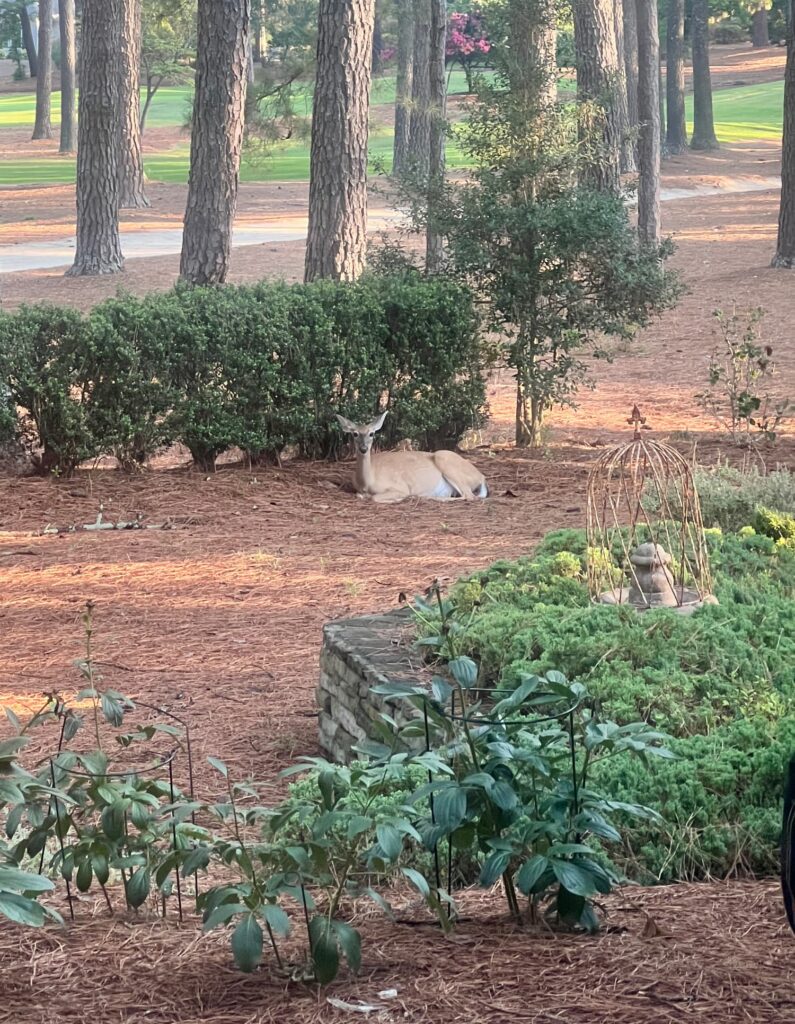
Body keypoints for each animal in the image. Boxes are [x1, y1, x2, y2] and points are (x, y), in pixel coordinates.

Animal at [335, 411, 489, 504]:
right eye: (355, 434)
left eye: (371, 433)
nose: (363, 448)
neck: (367, 482)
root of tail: (481, 477)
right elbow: (361, 495)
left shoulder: (400, 486)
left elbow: (375, 497)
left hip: (445, 459)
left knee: (469, 496)